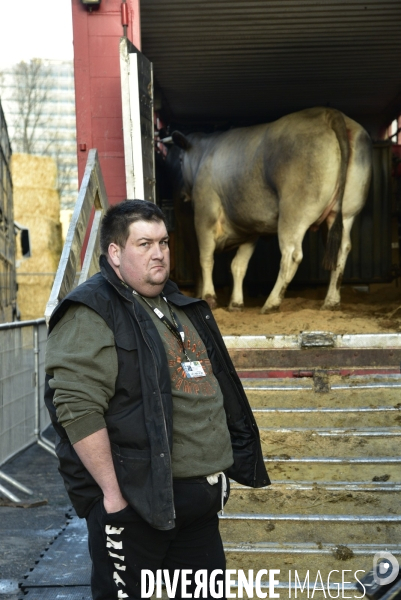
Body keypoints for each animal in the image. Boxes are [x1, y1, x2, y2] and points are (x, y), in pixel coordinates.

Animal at [171, 108, 372, 314]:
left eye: (180, 159)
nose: (182, 194)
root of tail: (328, 113)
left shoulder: (205, 215)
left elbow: (206, 258)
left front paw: (209, 297)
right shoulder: (250, 229)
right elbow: (238, 266)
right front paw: (236, 303)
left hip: (294, 213)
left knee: (291, 255)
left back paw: (271, 302)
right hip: (346, 212)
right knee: (341, 249)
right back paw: (331, 301)